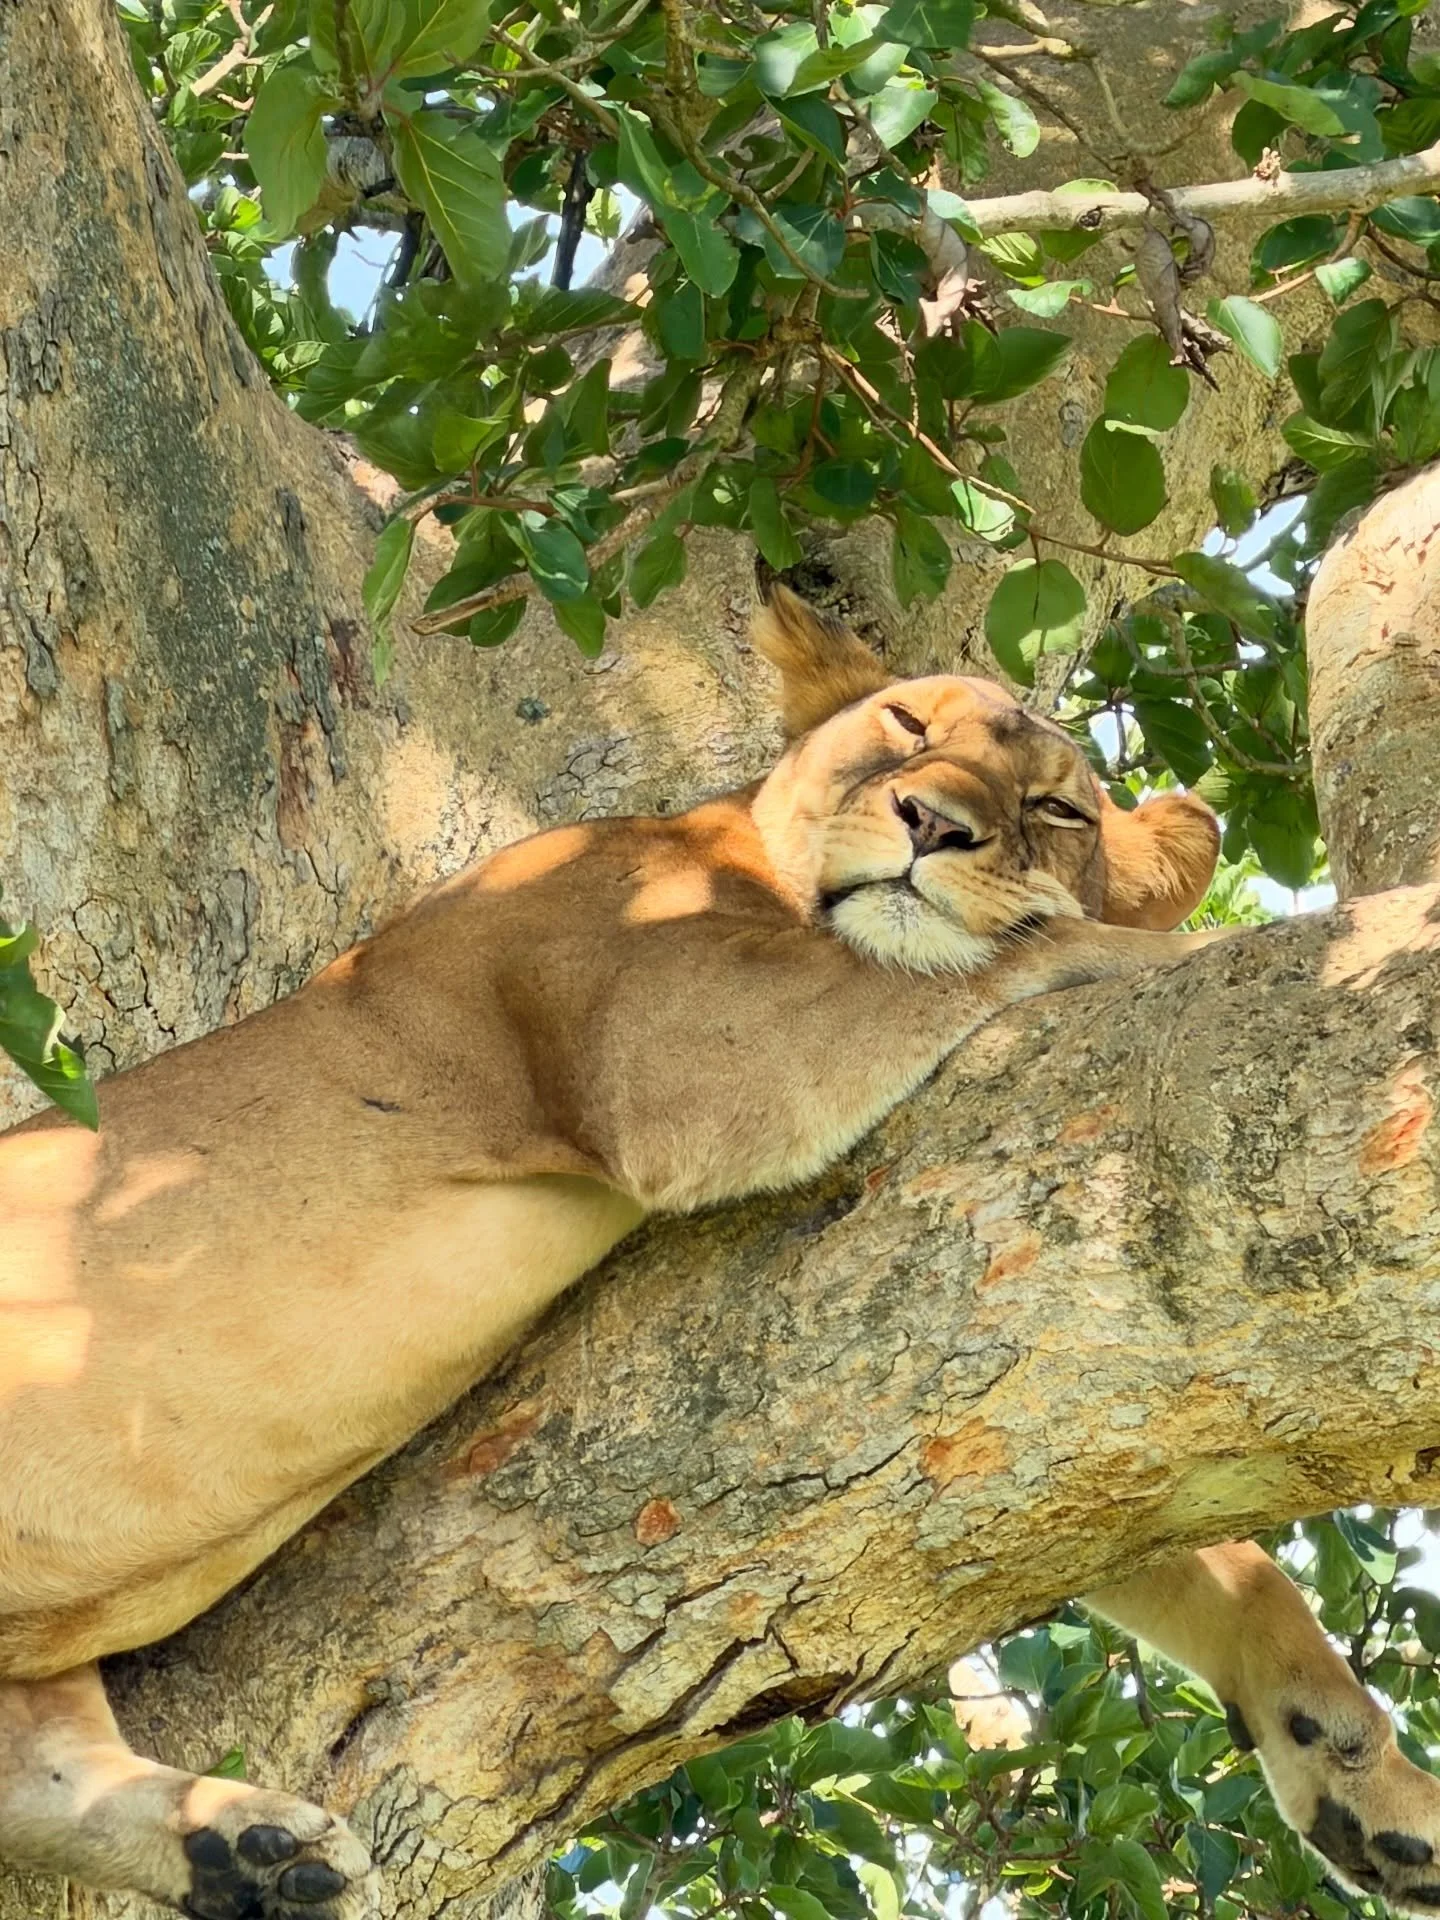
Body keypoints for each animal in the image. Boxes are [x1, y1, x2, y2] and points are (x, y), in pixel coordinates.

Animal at [1, 584, 1437, 1920]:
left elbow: (1220, 1556)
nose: (934, 825)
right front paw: (1252, 937)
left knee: (40, 1769)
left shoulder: (1059, 1429)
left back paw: (243, 1848)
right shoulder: (674, 1040)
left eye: (1057, 808)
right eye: (906, 725)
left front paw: (1370, 1786)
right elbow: (1010, 952)